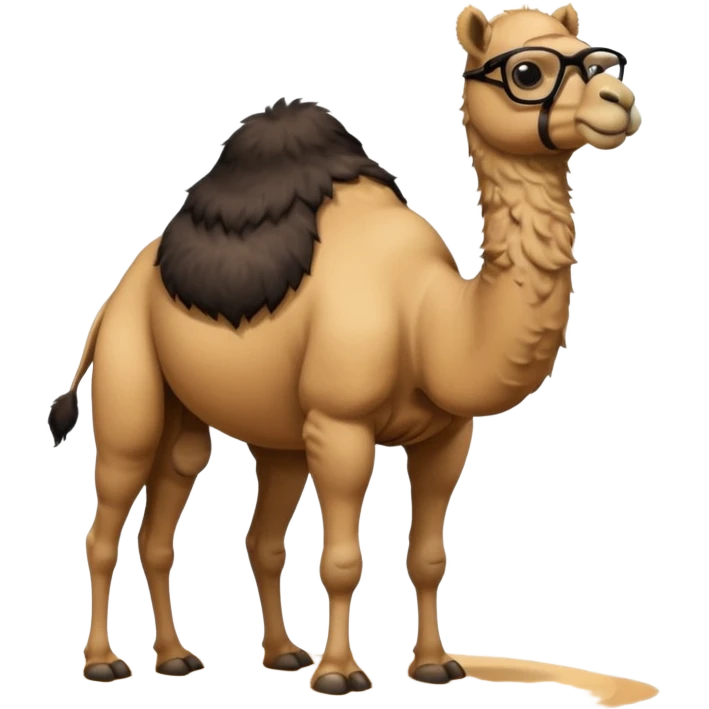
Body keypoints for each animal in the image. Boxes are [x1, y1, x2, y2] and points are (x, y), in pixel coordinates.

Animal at [53, 2, 645, 699]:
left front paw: (435, 666)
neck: (428, 315)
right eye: (528, 71)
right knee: (109, 515)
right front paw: (339, 674)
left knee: (196, 512)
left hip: (238, 425)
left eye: (600, 59)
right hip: (131, 368)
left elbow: (427, 556)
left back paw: (224, 656)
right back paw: (103, 663)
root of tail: (118, 293)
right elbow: (341, 559)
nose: (619, 100)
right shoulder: (341, 424)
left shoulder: (448, 434)